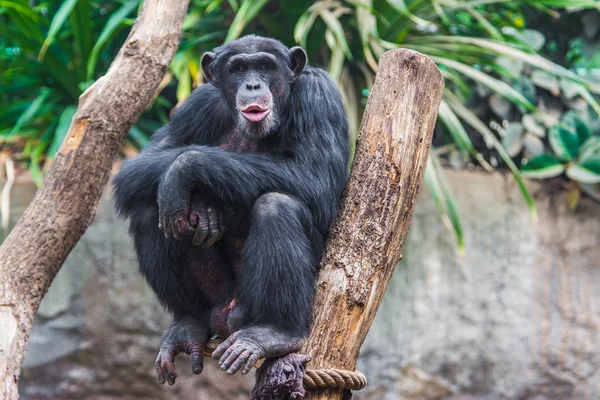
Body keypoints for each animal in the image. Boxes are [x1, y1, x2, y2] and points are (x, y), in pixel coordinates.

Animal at [112, 36, 350, 386]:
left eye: (265, 66)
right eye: (238, 69)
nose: (252, 84)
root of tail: (228, 319)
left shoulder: (319, 96)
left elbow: (315, 177)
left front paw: (185, 169)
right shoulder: (196, 104)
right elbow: (140, 165)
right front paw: (202, 203)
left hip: (249, 308)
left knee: (276, 206)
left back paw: (276, 332)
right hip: (217, 300)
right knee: (149, 212)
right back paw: (188, 322)